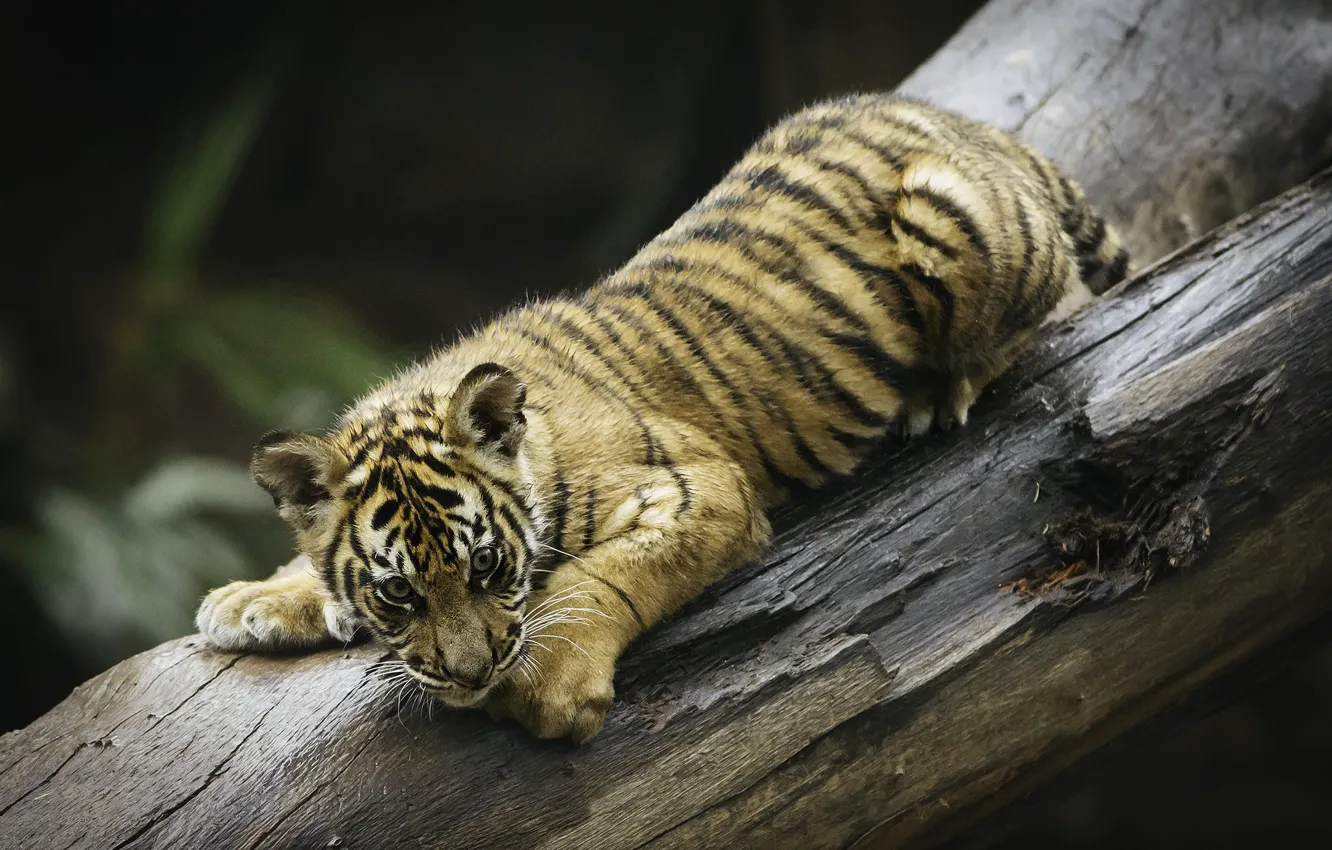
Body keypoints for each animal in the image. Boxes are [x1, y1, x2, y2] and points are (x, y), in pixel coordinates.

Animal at [196, 93, 1129, 743]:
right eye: (397, 592)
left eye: (488, 565)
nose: (470, 674)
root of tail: (958, 120)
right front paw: (253, 599)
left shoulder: (702, 486)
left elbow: (604, 574)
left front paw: (545, 682)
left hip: (948, 216)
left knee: (1040, 307)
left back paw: (943, 392)